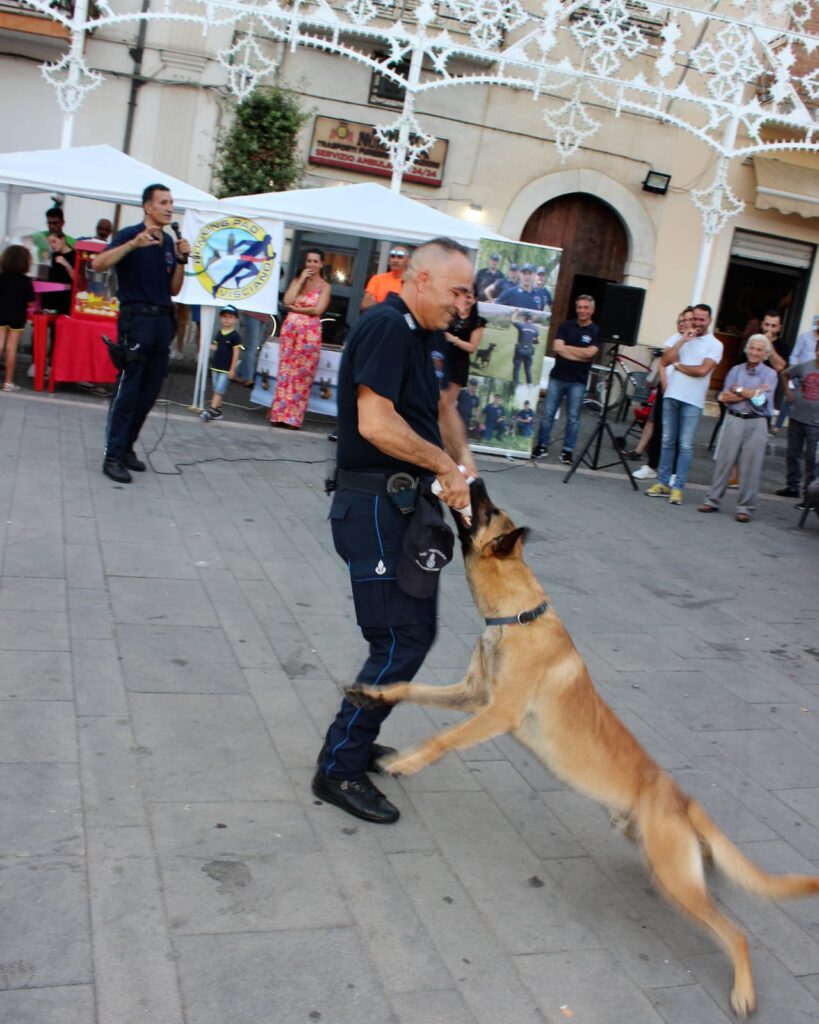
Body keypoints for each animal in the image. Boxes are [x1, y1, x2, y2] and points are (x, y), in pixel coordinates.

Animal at [346, 477, 818, 1015]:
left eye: (488, 509)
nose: (474, 479)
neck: (518, 617)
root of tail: (680, 798)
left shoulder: (495, 713)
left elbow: (441, 739)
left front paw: (407, 762)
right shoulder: (471, 696)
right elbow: (407, 688)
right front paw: (372, 694)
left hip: (672, 877)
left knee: (735, 933)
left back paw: (743, 989)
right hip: (663, 857)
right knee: (709, 866)